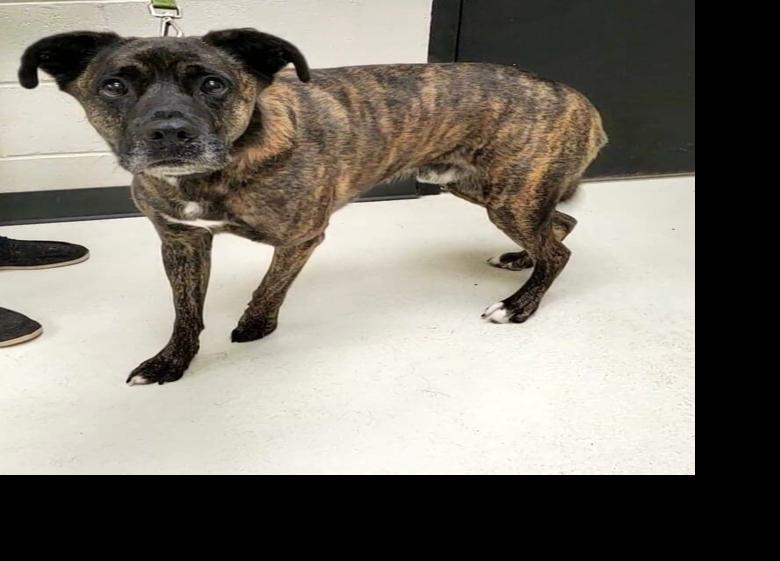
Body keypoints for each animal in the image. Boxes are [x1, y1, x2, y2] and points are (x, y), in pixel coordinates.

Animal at [19, 28, 607, 385]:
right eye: (114, 86)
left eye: (213, 84)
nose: (169, 132)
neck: (222, 165)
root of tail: (582, 99)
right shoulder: (182, 242)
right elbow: (186, 311)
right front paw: (171, 361)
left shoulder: (302, 236)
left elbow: (269, 285)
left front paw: (255, 326)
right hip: (481, 187)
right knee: (560, 224)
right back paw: (520, 260)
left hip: (509, 195)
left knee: (558, 251)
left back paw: (520, 304)